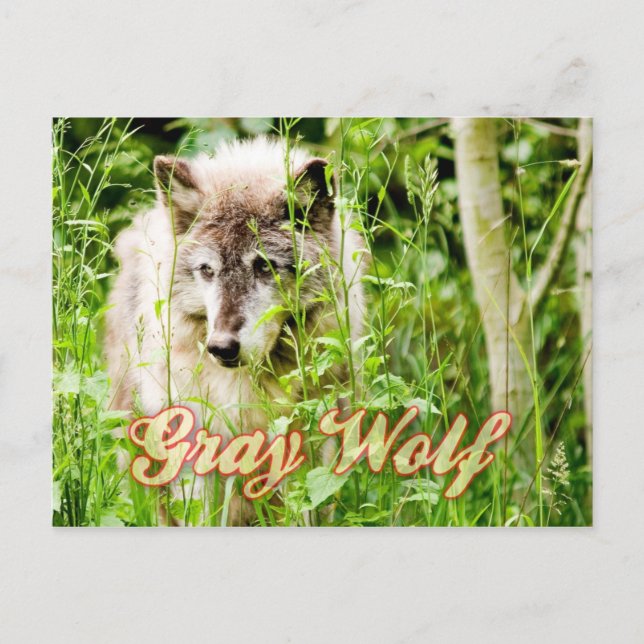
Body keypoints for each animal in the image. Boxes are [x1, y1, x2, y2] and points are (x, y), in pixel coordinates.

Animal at [106, 136, 365, 524]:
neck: (249, 389)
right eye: (207, 270)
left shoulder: (307, 451)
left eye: (263, 266)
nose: (221, 347)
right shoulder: (196, 452)